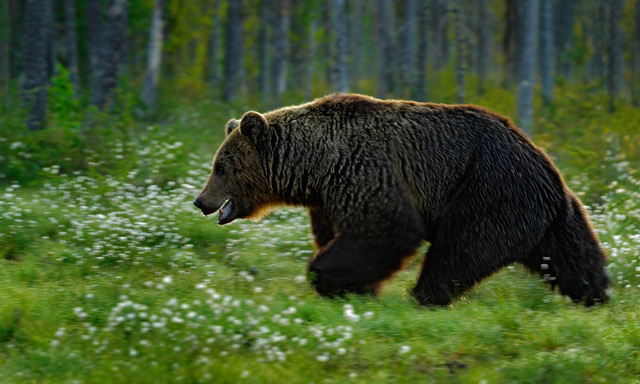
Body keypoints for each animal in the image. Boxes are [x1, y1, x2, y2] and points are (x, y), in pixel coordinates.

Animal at [194, 94, 608, 308]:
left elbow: (386, 229)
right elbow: (341, 235)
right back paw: (597, 295)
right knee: (572, 255)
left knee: (459, 249)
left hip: (487, 190)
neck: (315, 165)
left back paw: (425, 295)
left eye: (221, 166)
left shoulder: (366, 168)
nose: (201, 201)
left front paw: (329, 278)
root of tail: (545, 163)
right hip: (549, 214)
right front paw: (355, 286)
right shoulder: (329, 197)